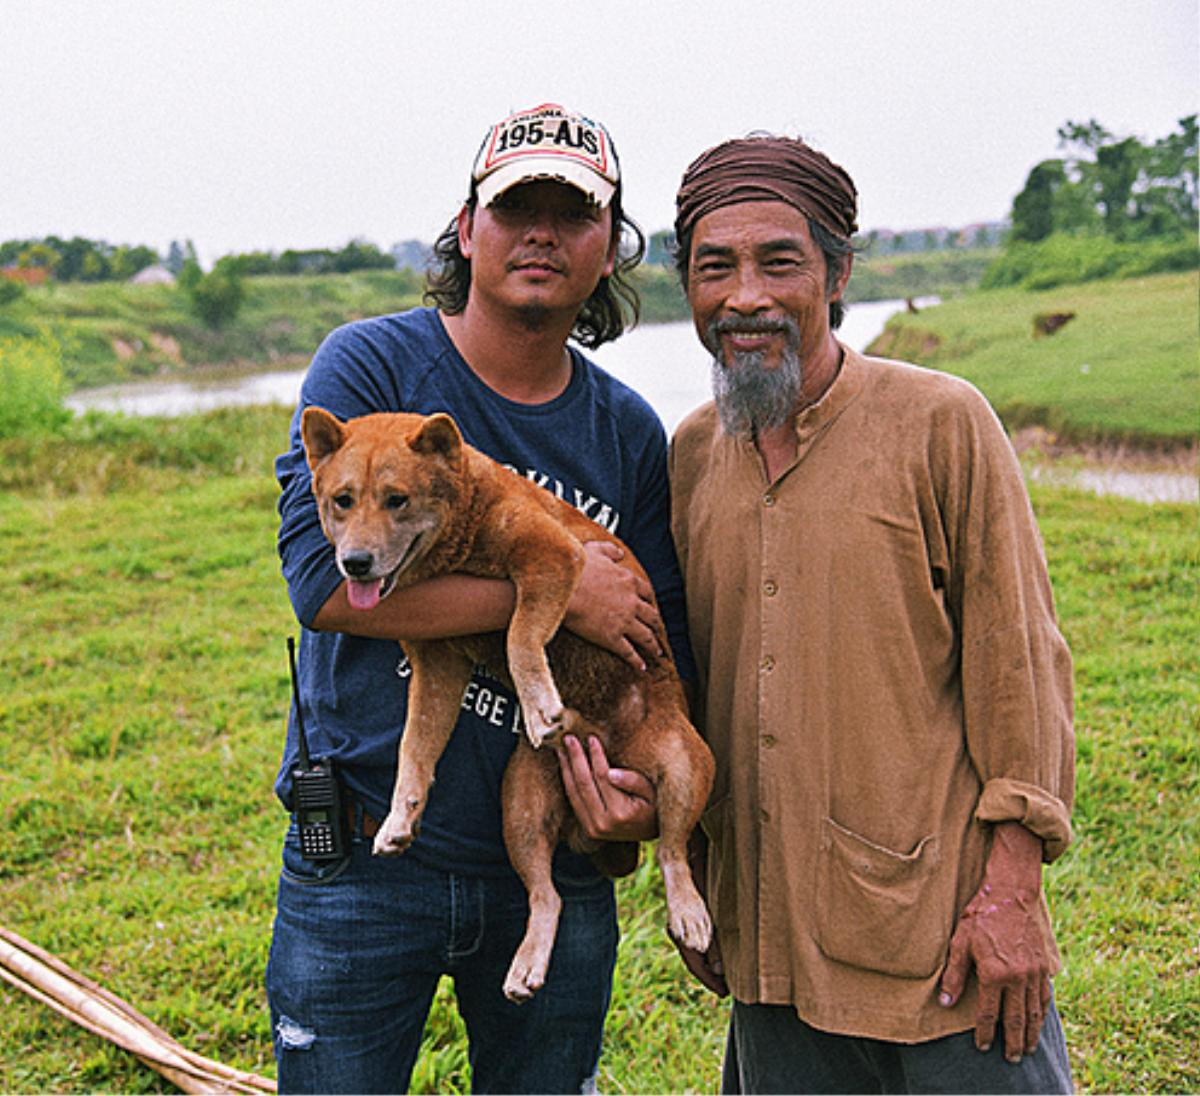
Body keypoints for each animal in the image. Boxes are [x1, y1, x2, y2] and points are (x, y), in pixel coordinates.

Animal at [302, 408, 710, 998]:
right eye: (342, 500)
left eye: (397, 499)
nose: (355, 563)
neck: (463, 534)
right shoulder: (438, 664)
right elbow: (414, 746)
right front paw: (400, 816)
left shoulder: (551, 556)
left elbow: (519, 634)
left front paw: (539, 702)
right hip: (521, 806)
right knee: (546, 896)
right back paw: (528, 963)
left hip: (685, 766)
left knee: (673, 852)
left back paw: (689, 912)